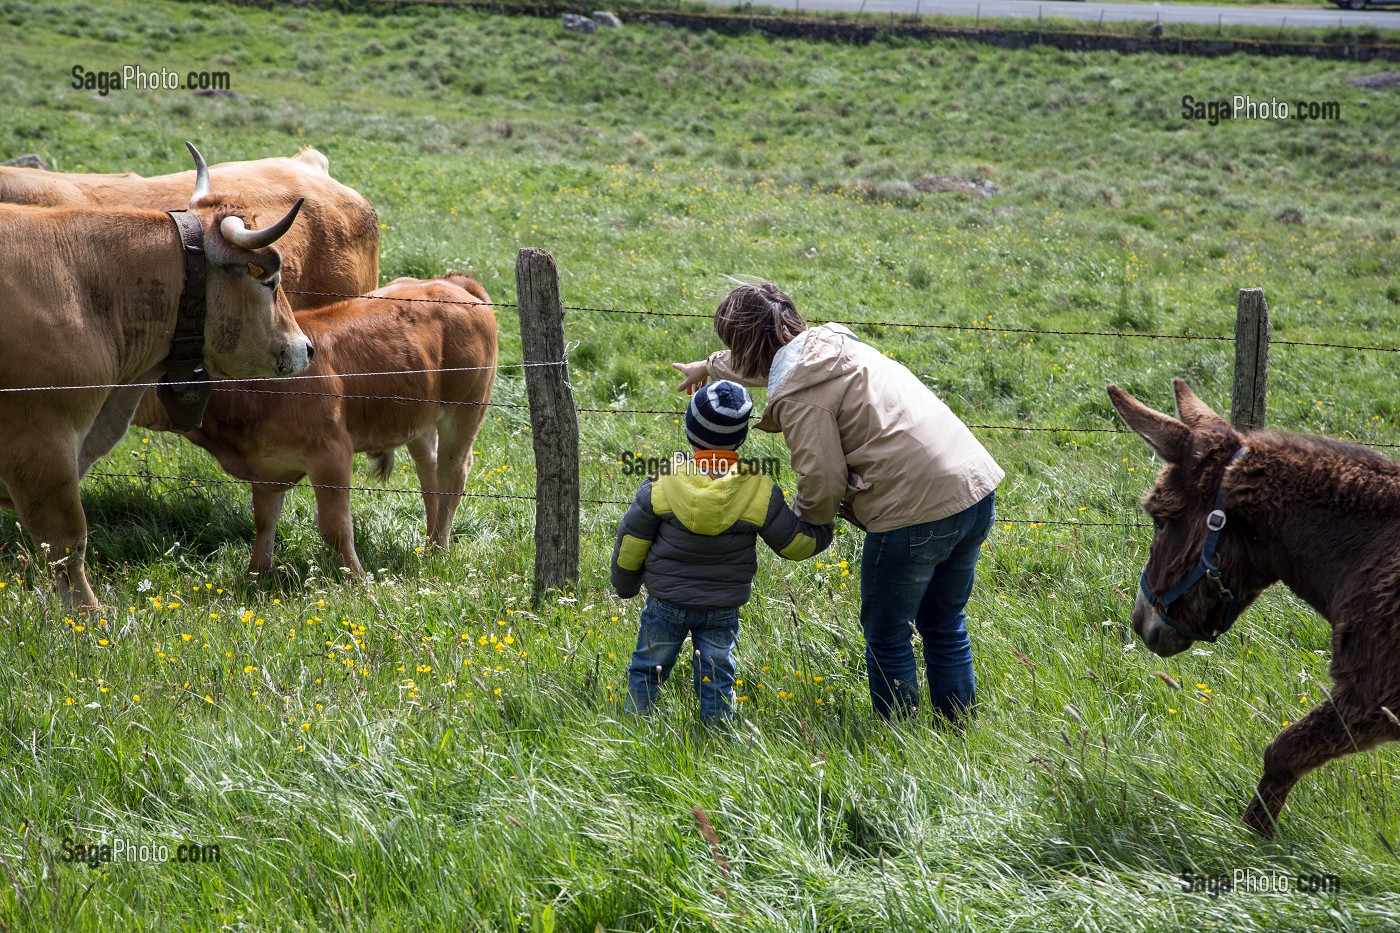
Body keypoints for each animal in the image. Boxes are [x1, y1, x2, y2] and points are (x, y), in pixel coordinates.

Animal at [0, 144, 314, 609]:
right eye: (269, 280)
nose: (307, 348)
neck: (86, 284)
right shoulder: (41, 442)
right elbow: (67, 542)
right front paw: (89, 617)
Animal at [136, 274, 498, 577]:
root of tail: (450, 282)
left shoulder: (331, 453)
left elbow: (334, 527)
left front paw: (359, 582)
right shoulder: (266, 465)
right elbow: (264, 521)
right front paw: (257, 576)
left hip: (464, 411)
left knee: (453, 474)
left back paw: (438, 550)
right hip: (417, 419)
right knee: (430, 473)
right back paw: (431, 540)